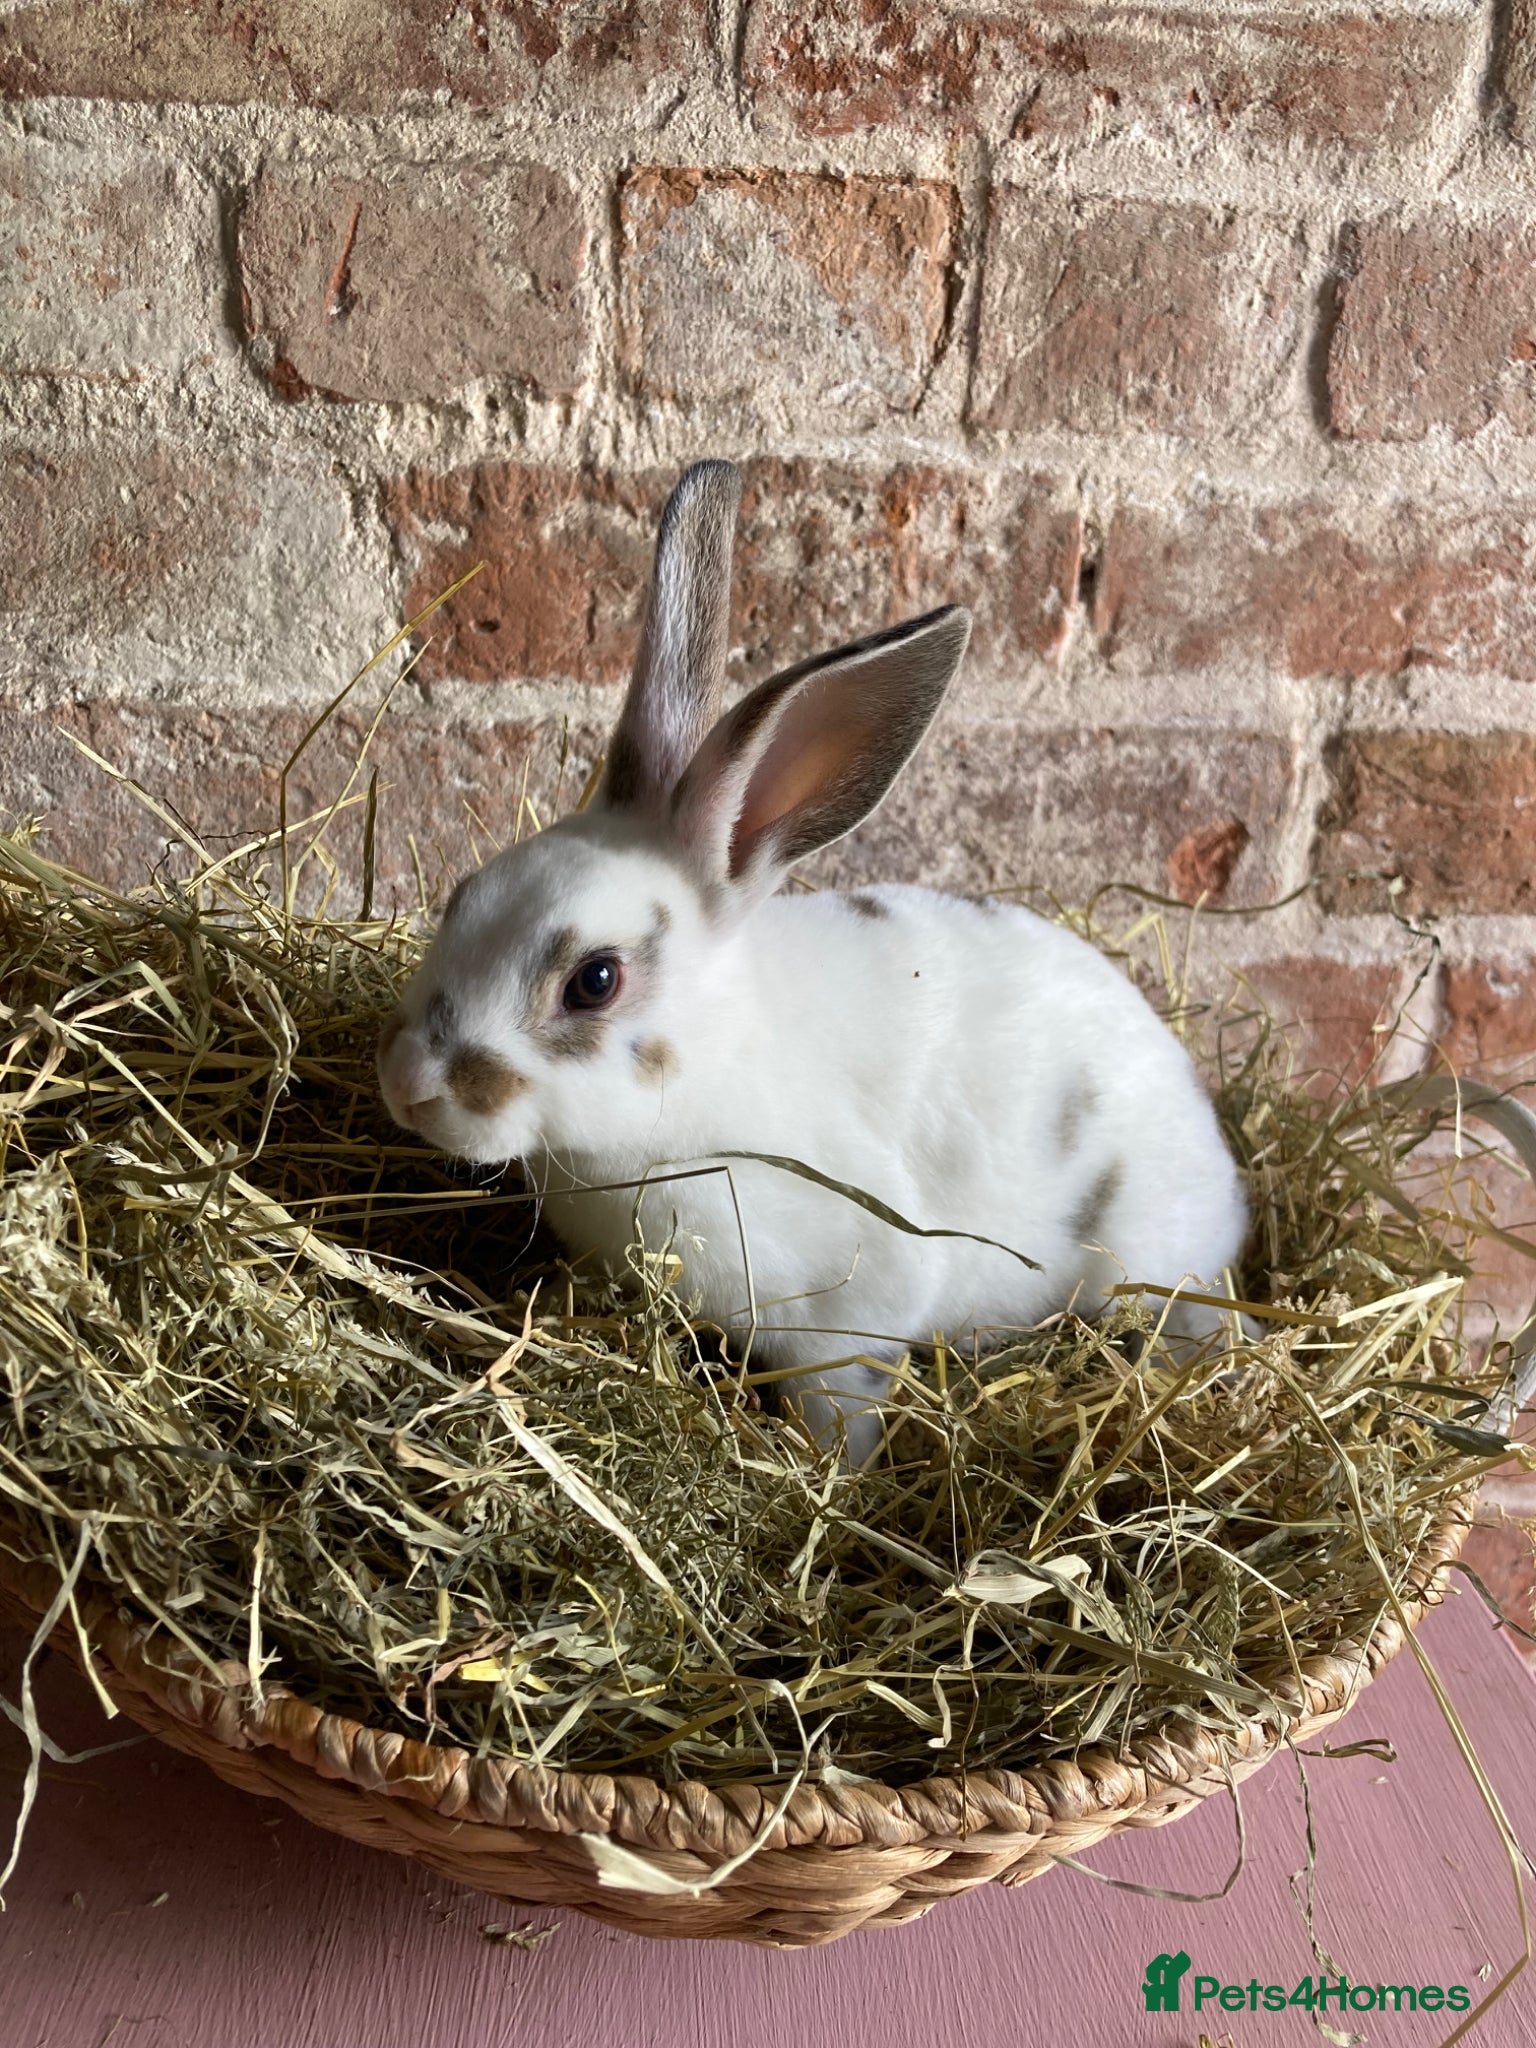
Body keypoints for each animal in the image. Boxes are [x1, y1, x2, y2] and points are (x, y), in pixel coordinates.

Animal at [378, 459, 1249, 1465]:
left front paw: (822, 1470)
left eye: (594, 980)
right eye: (463, 893)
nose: (409, 1084)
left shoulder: (855, 1305)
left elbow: (844, 1400)